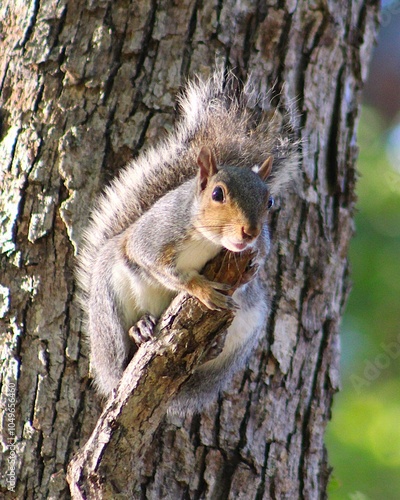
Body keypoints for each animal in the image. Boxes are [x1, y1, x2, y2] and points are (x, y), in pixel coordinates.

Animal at [76, 69, 298, 414]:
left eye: (270, 201)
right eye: (217, 194)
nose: (248, 232)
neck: (209, 241)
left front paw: (253, 266)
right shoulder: (154, 235)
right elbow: (159, 266)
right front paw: (201, 288)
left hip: (246, 331)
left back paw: (212, 345)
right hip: (108, 305)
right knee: (119, 353)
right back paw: (140, 330)